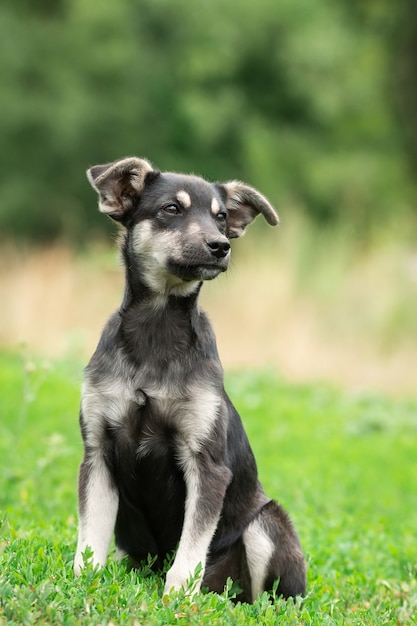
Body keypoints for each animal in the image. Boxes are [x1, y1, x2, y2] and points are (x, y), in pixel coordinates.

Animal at [73, 156, 304, 600]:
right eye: (171, 209)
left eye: (221, 217)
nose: (221, 246)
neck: (157, 327)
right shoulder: (98, 453)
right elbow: (90, 538)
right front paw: (81, 584)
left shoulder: (206, 463)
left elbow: (191, 548)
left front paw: (176, 599)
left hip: (266, 524)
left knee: (266, 596)